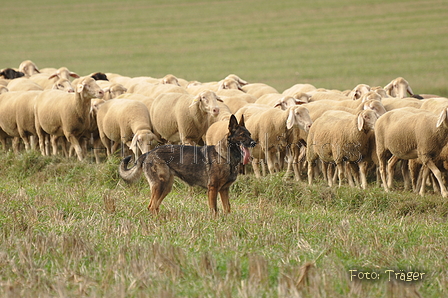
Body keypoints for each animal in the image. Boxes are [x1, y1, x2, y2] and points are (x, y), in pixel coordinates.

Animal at [118, 114, 256, 214]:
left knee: (154, 206)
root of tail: (149, 152)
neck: (225, 157)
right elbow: (214, 210)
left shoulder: (224, 190)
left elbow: (227, 208)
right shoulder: (213, 189)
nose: (254, 143)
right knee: (152, 206)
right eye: (242, 135)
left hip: (166, 187)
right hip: (160, 185)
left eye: (249, 134)